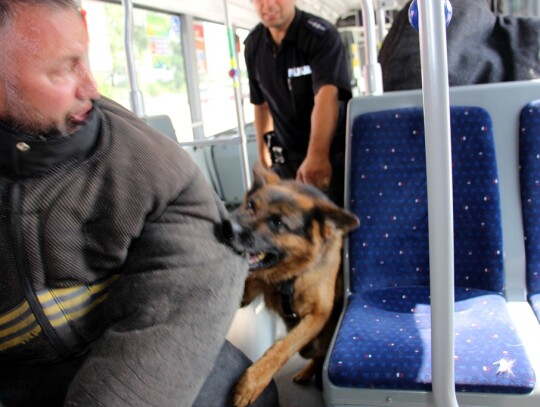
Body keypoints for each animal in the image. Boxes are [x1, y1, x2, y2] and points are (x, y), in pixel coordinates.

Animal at [228, 164, 358, 406]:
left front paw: (253, 381)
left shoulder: (317, 315)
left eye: (277, 222)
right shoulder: (248, 292)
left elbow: (283, 346)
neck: (290, 276)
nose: (227, 226)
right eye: (250, 205)